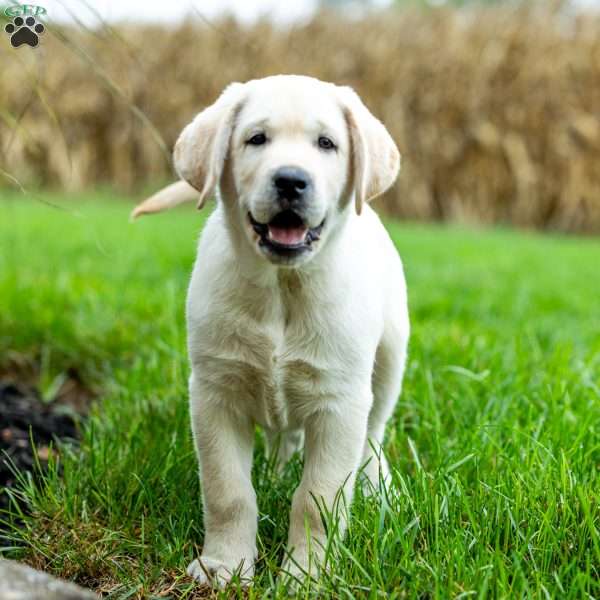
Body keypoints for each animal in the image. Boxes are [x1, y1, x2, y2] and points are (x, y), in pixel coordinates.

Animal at [133, 75, 410, 584]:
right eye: (256, 139)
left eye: (327, 144)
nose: (290, 180)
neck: (283, 289)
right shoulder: (215, 393)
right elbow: (227, 491)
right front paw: (225, 565)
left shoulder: (340, 403)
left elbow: (317, 500)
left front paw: (307, 575)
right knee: (285, 436)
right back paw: (276, 473)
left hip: (388, 363)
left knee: (373, 437)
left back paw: (380, 491)